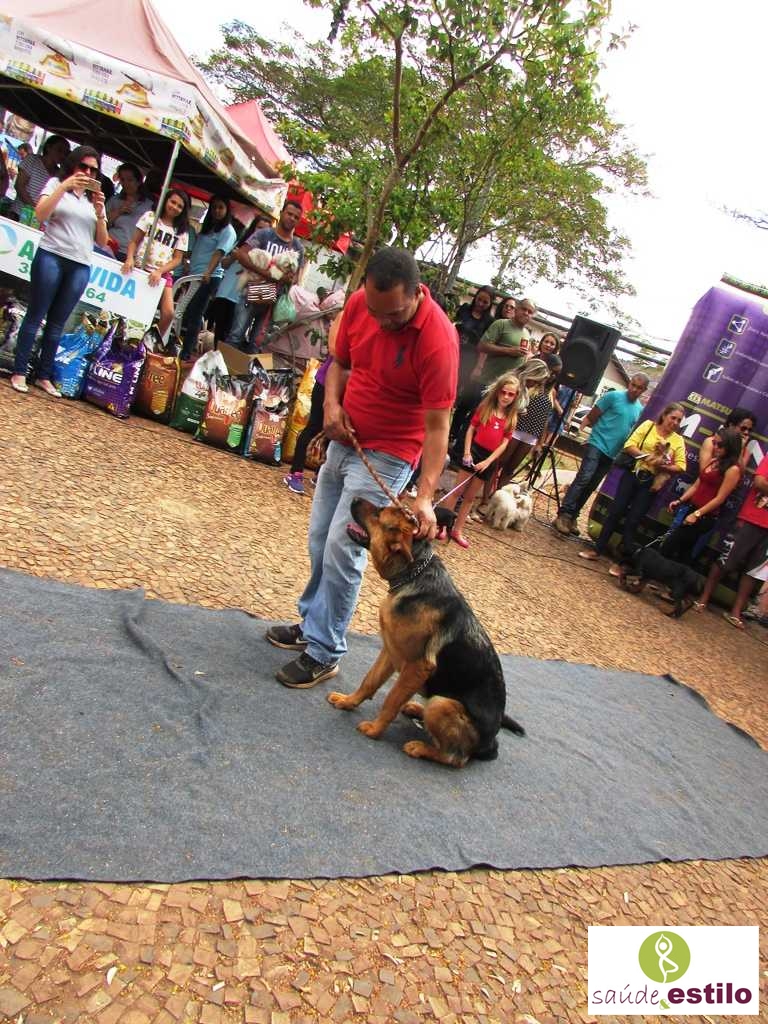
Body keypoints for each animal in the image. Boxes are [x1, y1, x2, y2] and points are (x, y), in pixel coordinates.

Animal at [327, 501, 524, 768]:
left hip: (442, 704)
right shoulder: (390, 651)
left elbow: (391, 700)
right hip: (435, 698)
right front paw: (349, 702)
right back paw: (415, 710)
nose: (355, 498)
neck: (415, 573)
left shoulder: (417, 667)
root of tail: (490, 744)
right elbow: (369, 681)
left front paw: (375, 730)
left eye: (379, 513)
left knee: (456, 758)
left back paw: (420, 748)